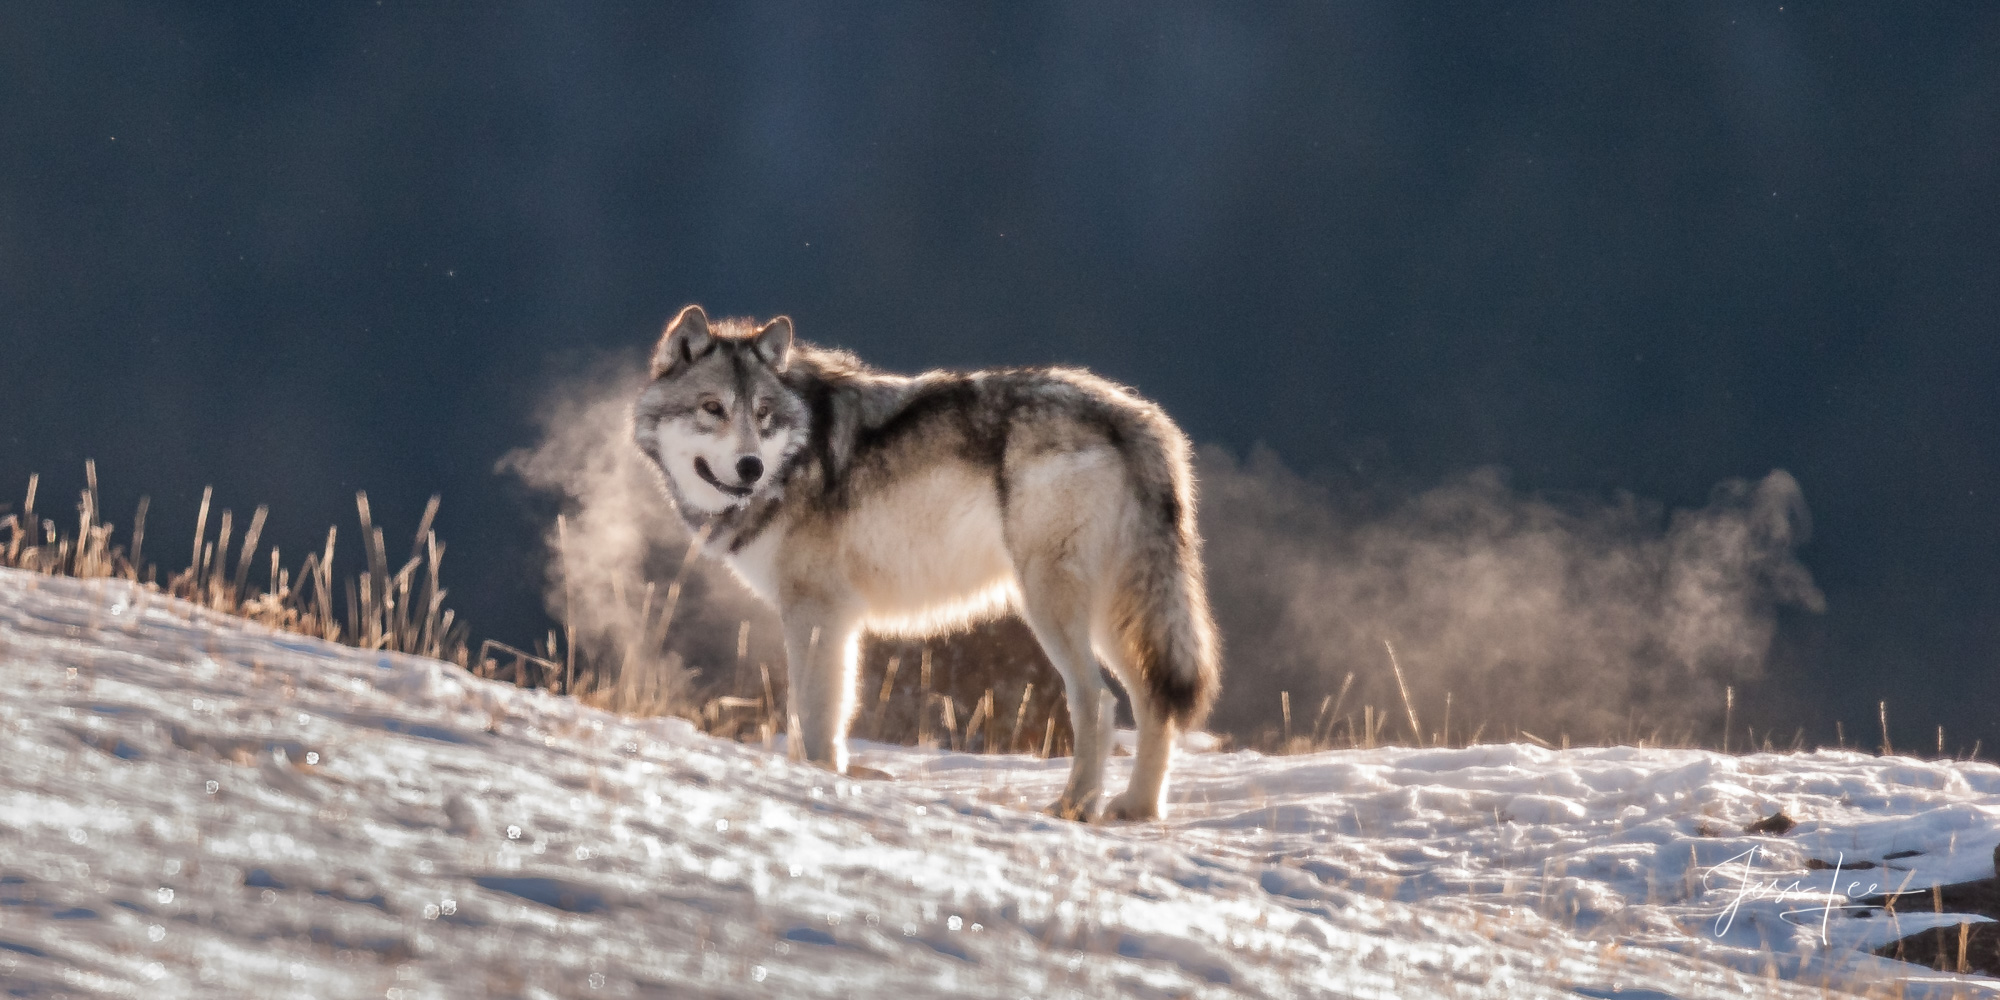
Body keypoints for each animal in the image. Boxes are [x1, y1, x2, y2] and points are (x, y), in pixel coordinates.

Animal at [632, 306, 1216, 820]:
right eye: (712, 408)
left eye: (763, 415)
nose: (751, 466)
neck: (796, 458)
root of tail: (1135, 416)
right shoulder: (838, 619)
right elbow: (831, 709)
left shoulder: (815, 610)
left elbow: (815, 714)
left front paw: (815, 779)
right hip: (1114, 614)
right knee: (1153, 703)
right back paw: (1136, 809)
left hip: (1051, 604)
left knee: (1096, 703)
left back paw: (1073, 807)